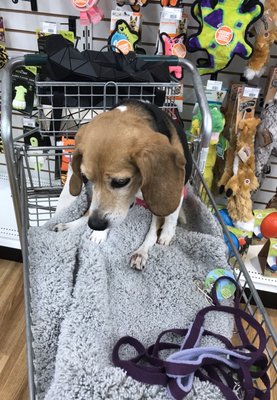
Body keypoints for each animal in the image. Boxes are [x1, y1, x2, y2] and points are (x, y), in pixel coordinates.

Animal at [54, 99, 191, 270]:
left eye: (121, 182)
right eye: (86, 177)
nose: (96, 225)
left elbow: (162, 223)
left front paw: (156, 241)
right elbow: (92, 212)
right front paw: (98, 233)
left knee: (161, 224)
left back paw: (152, 244)